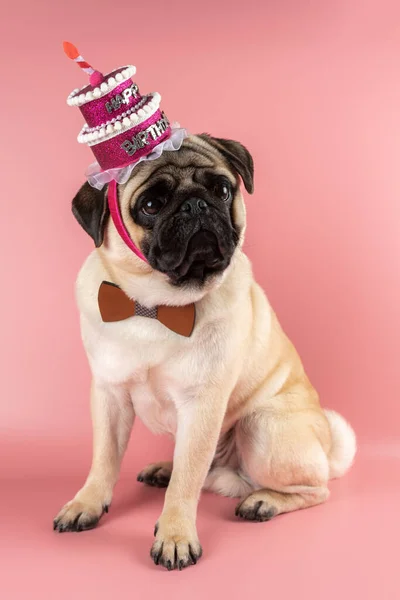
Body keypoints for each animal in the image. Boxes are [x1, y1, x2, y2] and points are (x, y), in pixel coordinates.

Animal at [53, 134, 356, 568]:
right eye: (151, 205)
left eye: (222, 190)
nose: (195, 204)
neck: (155, 306)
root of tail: (327, 451)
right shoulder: (109, 394)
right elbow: (104, 459)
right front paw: (87, 503)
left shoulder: (201, 404)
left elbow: (186, 481)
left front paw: (175, 535)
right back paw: (165, 469)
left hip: (261, 427)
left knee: (316, 489)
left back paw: (263, 501)